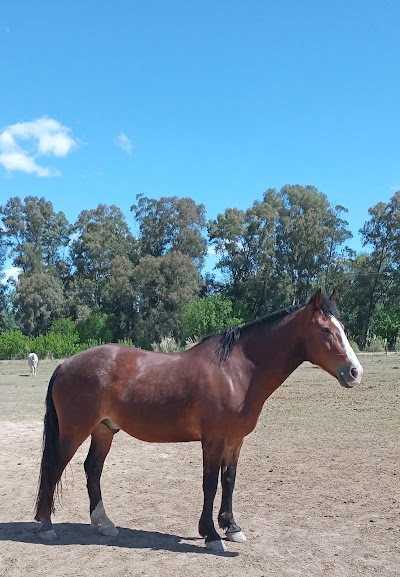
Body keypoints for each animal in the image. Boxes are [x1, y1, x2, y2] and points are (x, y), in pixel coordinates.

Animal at [35, 290, 362, 552]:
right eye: (325, 330)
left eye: (343, 328)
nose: (355, 372)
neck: (236, 371)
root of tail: (65, 364)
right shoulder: (213, 441)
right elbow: (210, 484)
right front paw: (211, 534)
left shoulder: (235, 441)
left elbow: (229, 481)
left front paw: (232, 527)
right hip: (74, 432)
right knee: (53, 468)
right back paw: (46, 527)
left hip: (104, 430)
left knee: (93, 470)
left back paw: (104, 524)